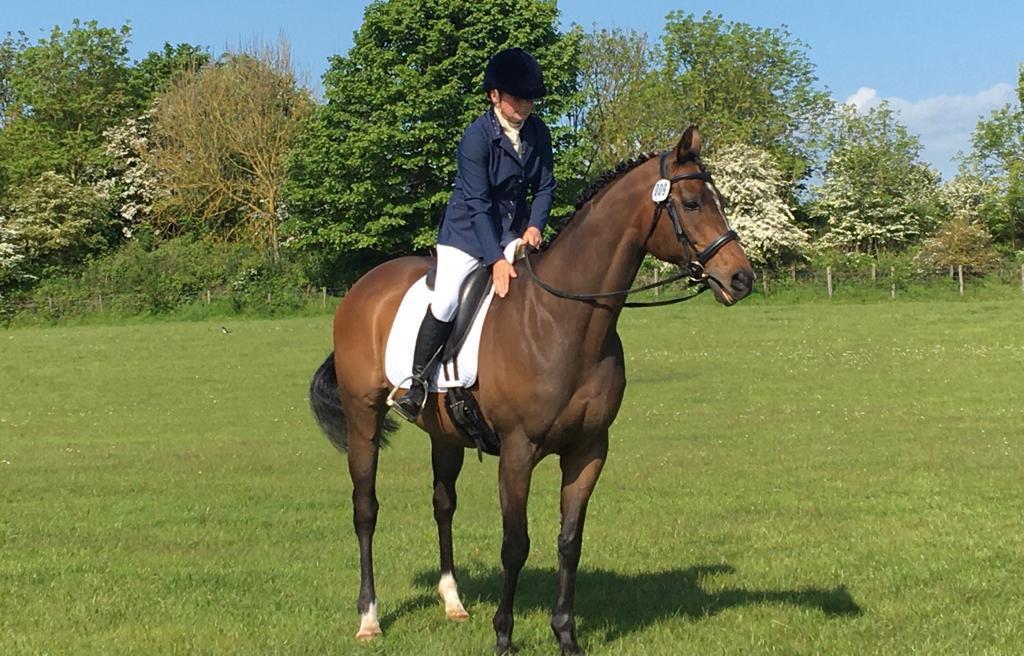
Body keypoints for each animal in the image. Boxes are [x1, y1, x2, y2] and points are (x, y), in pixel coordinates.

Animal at [307, 125, 757, 650]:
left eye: (718, 199)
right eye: (690, 203)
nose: (741, 278)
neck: (565, 320)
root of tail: (362, 288)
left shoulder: (588, 449)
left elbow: (569, 540)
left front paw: (566, 634)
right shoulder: (519, 452)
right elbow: (515, 543)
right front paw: (504, 635)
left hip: (444, 434)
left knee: (443, 505)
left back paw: (453, 602)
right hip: (364, 418)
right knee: (365, 509)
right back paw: (369, 617)